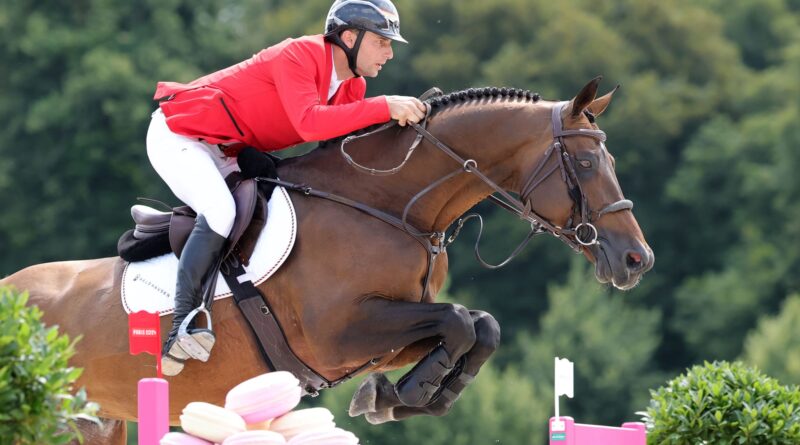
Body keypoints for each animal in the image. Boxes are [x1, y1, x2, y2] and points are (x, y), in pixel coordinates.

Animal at [0, 78, 652, 442]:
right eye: (587, 164)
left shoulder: (384, 331)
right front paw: (398, 396)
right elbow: (459, 321)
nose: (636, 260)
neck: (386, 205)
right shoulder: (337, 334)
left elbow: (477, 326)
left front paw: (402, 395)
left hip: (96, 420)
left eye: (613, 159)